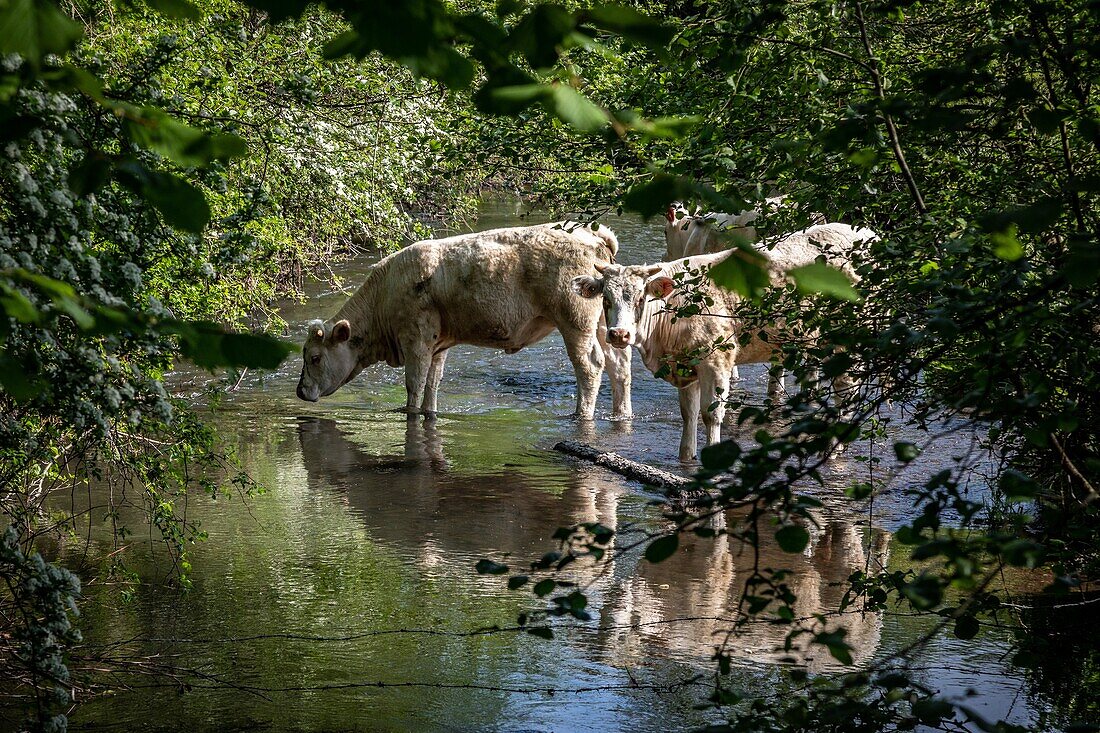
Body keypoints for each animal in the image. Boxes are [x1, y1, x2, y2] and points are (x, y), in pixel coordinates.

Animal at [299, 221, 638, 416]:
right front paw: (429, 412)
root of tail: (592, 233)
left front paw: (408, 411)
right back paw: (622, 414)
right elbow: (432, 385)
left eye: (314, 357)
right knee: (618, 365)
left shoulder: (416, 340)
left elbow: (414, 384)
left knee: (590, 365)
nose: (300, 392)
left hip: (576, 321)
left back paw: (582, 415)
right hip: (604, 321)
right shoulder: (437, 345)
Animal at [576, 221, 875, 457]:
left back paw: (834, 449)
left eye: (640, 299)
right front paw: (686, 456)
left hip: (849, 339)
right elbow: (689, 414)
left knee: (846, 393)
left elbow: (711, 414)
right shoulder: (685, 367)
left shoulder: (716, 362)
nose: (618, 334)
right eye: (605, 299)